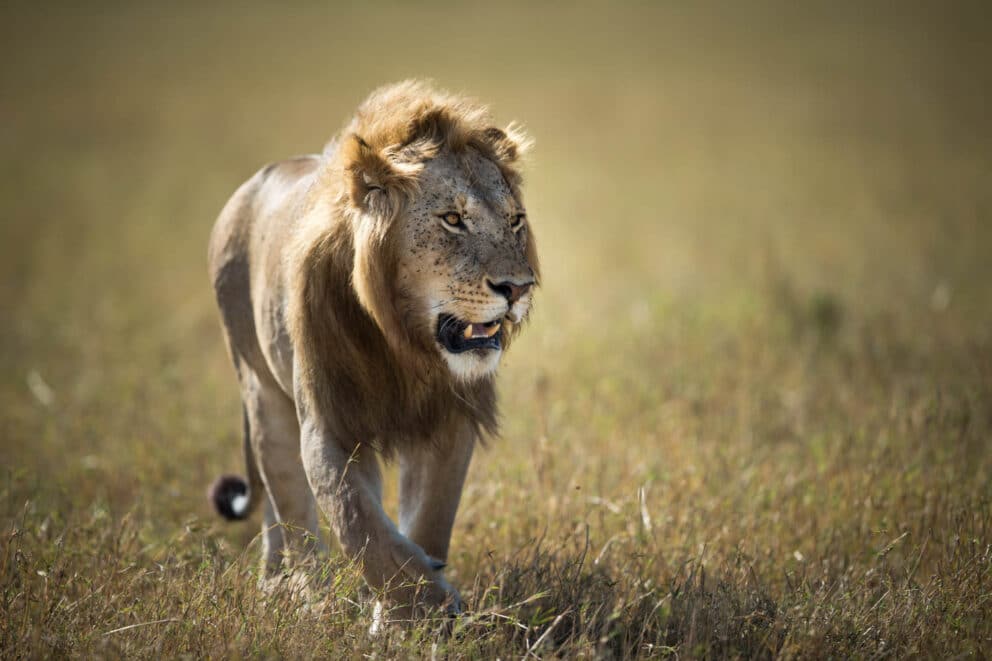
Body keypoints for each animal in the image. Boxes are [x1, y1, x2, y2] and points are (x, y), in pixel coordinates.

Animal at [206, 80, 538, 618]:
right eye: (452, 219)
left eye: (515, 221)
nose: (518, 288)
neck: (405, 342)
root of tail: (257, 179)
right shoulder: (331, 423)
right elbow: (358, 522)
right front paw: (424, 607)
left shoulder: (447, 420)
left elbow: (428, 521)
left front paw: (417, 611)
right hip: (259, 386)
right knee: (289, 504)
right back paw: (300, 595)